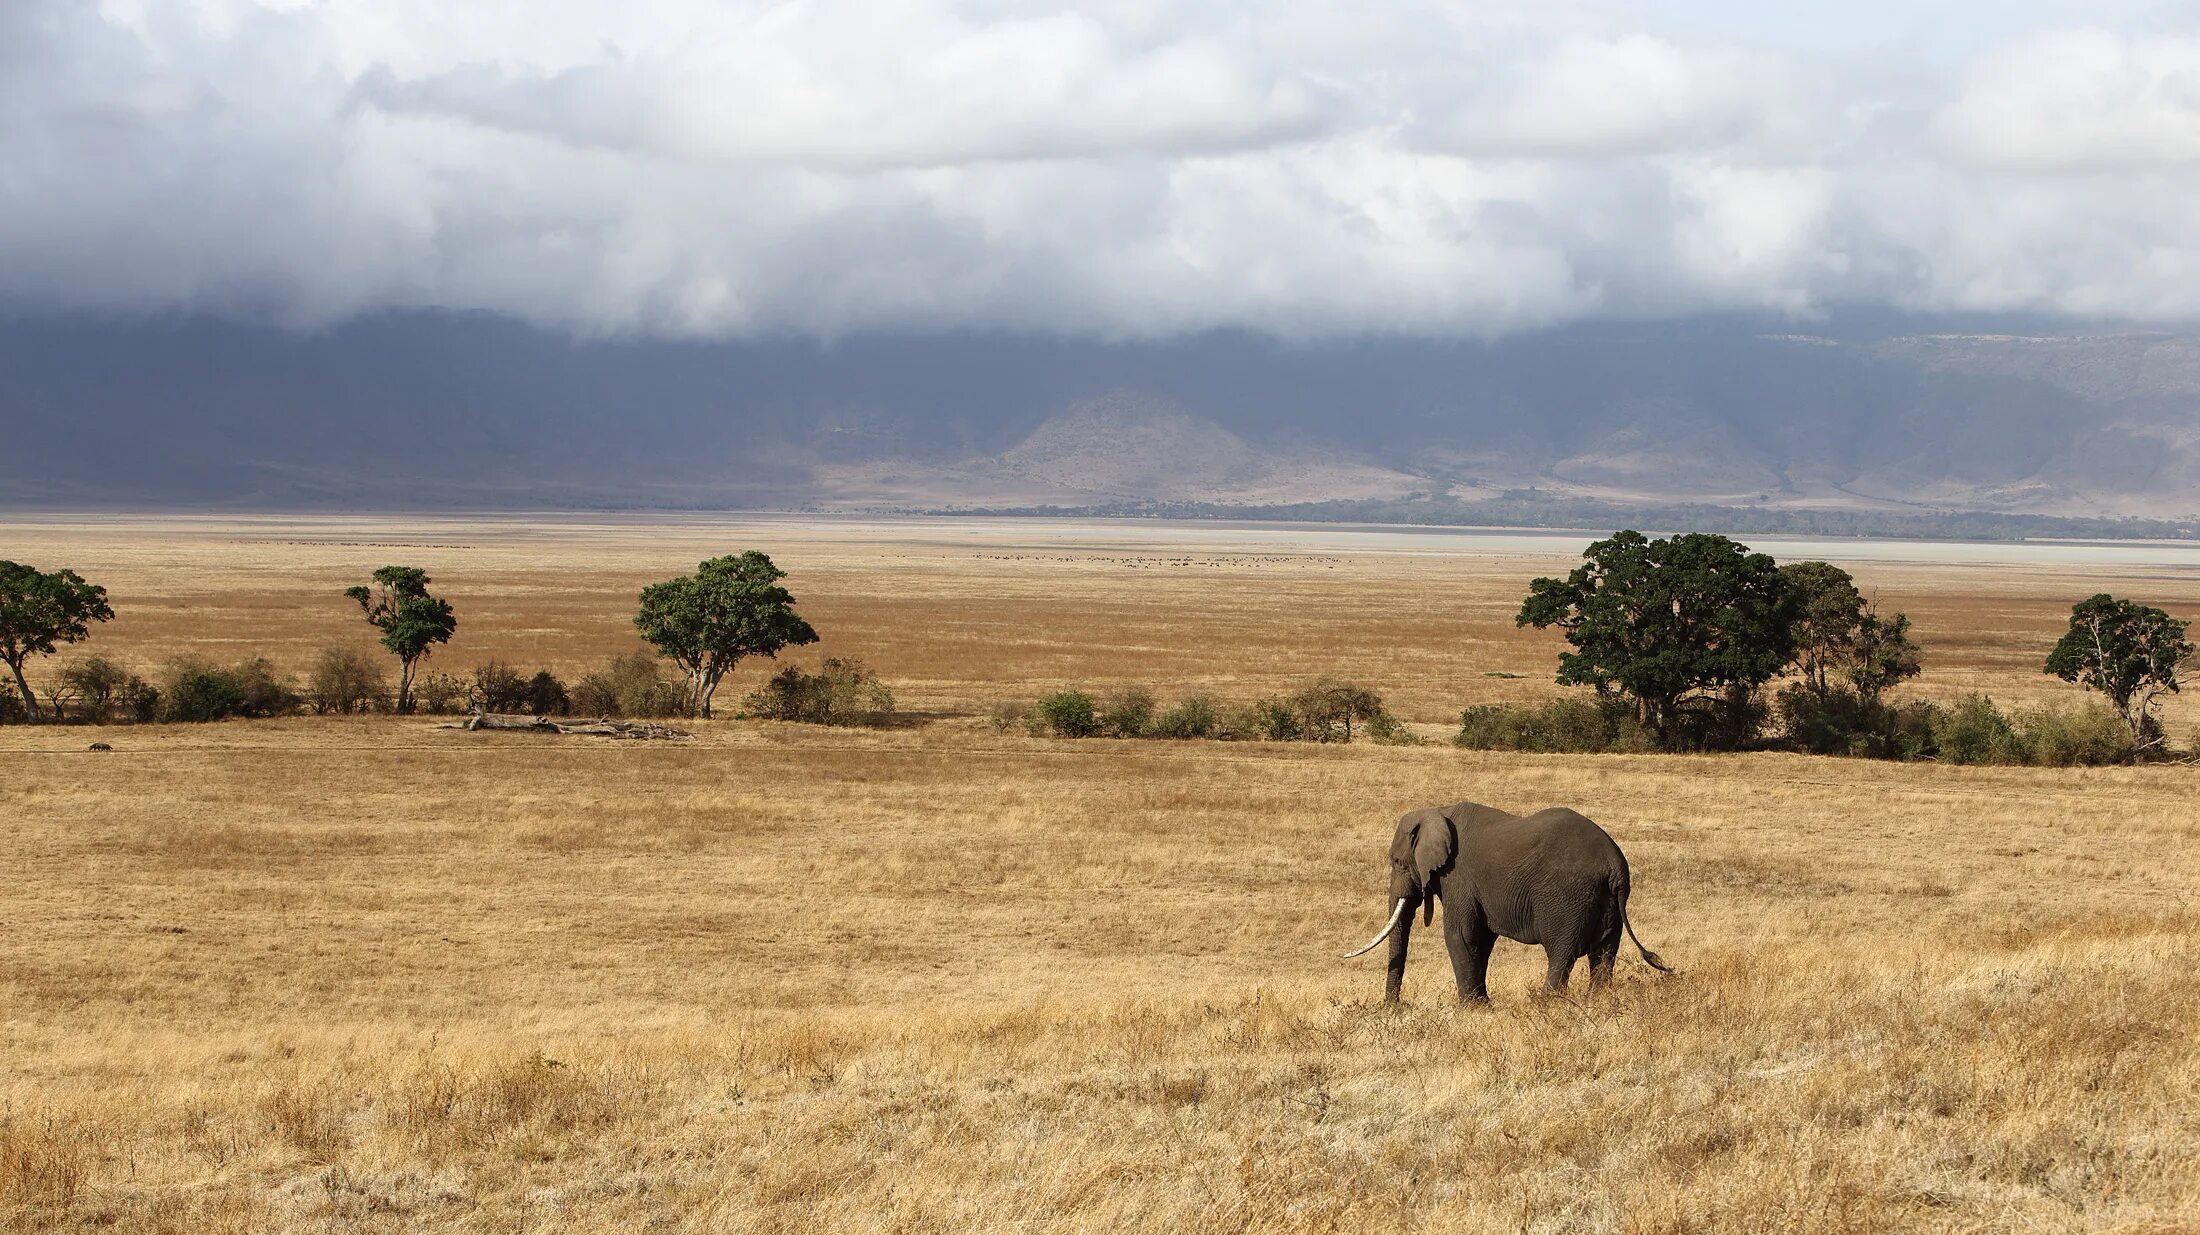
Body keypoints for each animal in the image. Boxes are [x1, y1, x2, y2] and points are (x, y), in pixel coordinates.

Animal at [1337, 801, 1663, 1003]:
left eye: (1396, 861)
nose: (1394, 1007)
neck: (1437, 811)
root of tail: (1615, 865)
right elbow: (1481, 940)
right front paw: (1482, 1005)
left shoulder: (1458, 877)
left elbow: (1460, 935)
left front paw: (1470, 1009)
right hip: (1608, 905)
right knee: (1604, 954)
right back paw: (1599, 1001)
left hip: (1568, 900)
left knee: (1562, 952)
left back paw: (1545, 1002)